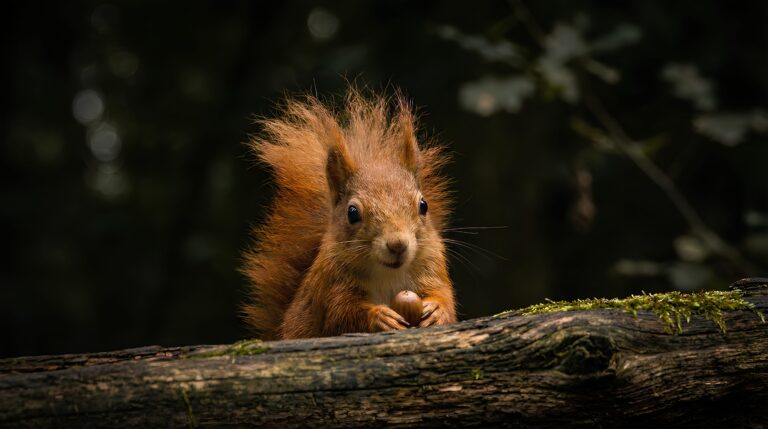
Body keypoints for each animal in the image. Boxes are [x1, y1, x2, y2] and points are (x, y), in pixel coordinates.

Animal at [241, 90, 457, 340]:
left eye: (423, 205)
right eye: (352, 213)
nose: (397, 245)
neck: (387, 273)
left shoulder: (432, 267)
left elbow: (444, 297)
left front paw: (437, 309)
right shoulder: (332, 285)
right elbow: (341, 315)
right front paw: (378, 316)